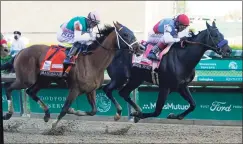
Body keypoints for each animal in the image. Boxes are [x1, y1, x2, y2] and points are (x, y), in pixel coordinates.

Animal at [2, 21, 144, 127]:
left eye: (132, 33)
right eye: (125, 34)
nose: (141, 48)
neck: (92, 62)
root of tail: (20, 52)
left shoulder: (90, 90)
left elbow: (93, 111)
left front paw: (74, 110)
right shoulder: (74, 89)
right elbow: (65, 108)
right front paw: (54, 124)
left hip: (43, 80)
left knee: (30, 92)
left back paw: (47, 114)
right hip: (26, 79)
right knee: (8, 88)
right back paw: (8, 114)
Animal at [104, 21, 232, 122]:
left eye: (222, 35)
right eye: (215, 35)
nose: (228, 50)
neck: (181, 58)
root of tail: (114, 50)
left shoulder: (182, 86)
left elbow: (193, 104)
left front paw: (175, 115)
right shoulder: (165, 87)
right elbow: (157, 111)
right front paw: (138, 115)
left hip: (135, 79)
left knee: (123, 93)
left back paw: (136, 110)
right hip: (119, 78)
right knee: (107, 89)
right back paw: (119, 113)